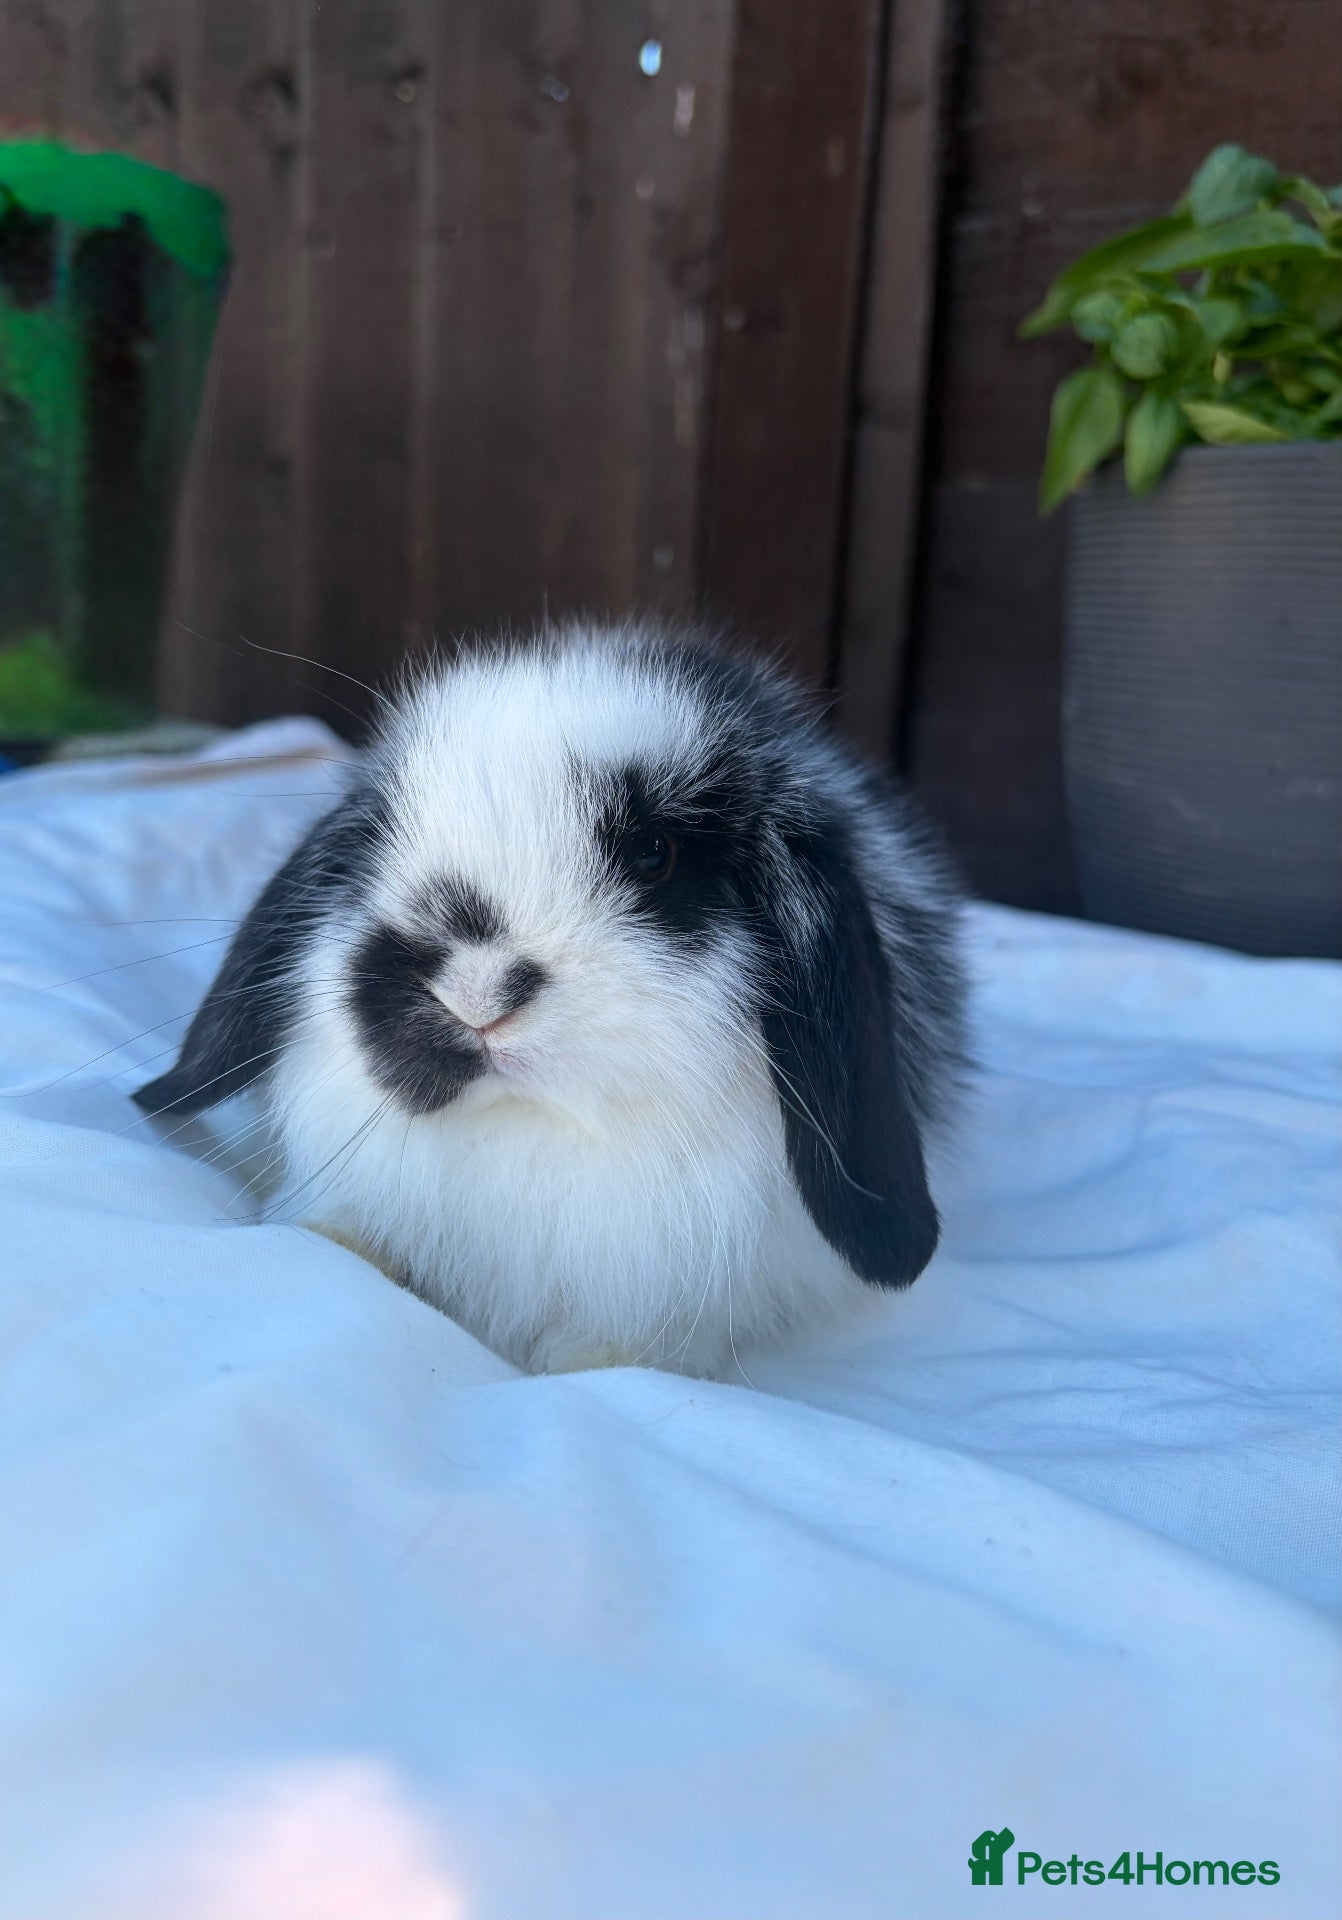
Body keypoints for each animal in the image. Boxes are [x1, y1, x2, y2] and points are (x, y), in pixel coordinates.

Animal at [135, 621, 967, 1376]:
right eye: (380, 841)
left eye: (654, 855)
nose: (472, 993)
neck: (528, 1129)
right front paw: (330, 1245)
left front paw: (591, 1362)